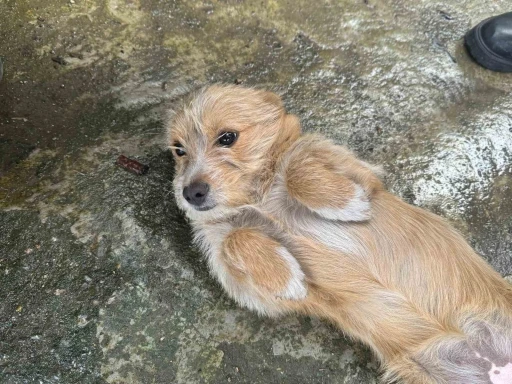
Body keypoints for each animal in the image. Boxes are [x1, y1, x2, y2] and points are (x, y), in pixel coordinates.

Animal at [168, 85, 512, 384]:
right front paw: (286, 278)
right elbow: (236, 239)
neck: (258, 198)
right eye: (179, 150)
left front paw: (347, 204)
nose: (191, 193)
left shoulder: (356, 169)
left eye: (227, 137)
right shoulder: (246, 286)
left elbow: (297, 168)